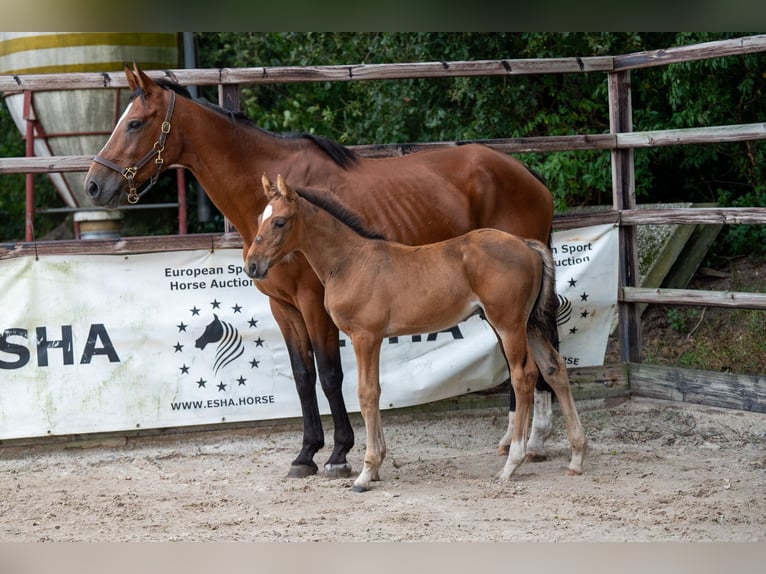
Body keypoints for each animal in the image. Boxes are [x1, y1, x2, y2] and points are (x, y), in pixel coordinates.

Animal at [84, 64, 560, 482]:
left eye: (135, 123)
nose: (93, 185)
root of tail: (526, 173)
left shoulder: (315, 304)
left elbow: (331, 375)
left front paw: (339, 454)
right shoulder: (282, 306)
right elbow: (302, 376)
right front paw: (306, 454)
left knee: (536, 356)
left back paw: (534, 442)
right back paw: (514, 441)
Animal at [246, 176, 588, 496]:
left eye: (279, 221)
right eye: (259, 217)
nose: (252, 265)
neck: (350, 261)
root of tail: (527, 244)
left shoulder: (365, 336)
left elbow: (366, 394)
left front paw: (365, 473)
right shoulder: (375, 339)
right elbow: (377, 391)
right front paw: (377, 466)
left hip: (508, 324)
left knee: (523, 375)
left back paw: (512, 463)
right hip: (529, 323)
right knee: (554, 368)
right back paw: (576, 457)